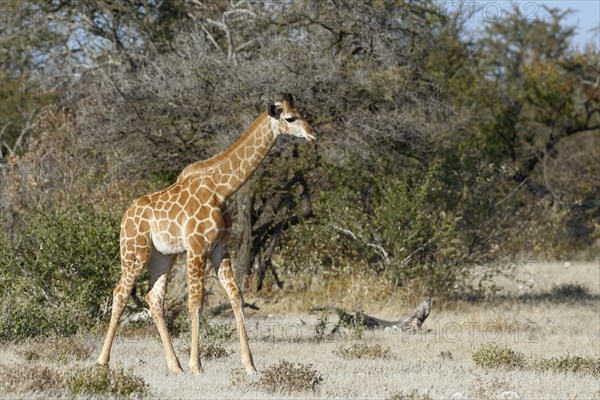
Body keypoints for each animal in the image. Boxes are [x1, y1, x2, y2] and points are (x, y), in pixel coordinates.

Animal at [96, 94, 316, 376]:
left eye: (302, 114)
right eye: (290, 118)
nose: (312, 133)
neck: (221, 189)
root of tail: (124, 217)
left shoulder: (219, 247)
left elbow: (236, 295)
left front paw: (249, 364)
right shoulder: (197, 246)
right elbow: (196, 301)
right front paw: (197, 365)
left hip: (163, 256)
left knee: (153, 298)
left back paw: (174, 365)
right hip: (135, 251)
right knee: (120, 292)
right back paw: (103, 360)